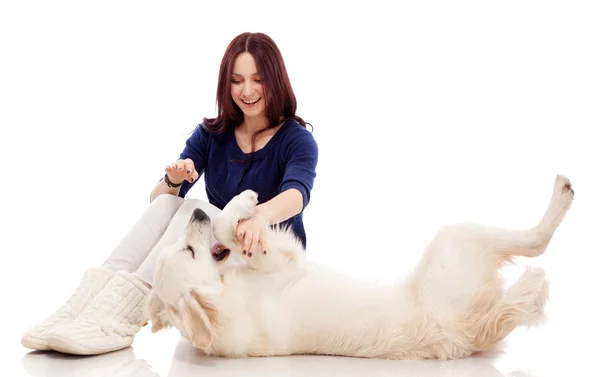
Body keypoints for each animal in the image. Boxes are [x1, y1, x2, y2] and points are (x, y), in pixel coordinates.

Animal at [144, 176, 572, 358]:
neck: (222, 296)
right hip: (455, 239)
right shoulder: (281, 262)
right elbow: (232, 229)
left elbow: (228, 230)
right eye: (190, 250)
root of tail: (465, 335)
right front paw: (245, 201)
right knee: (537, 241)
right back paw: (563, 192)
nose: (197, 212)